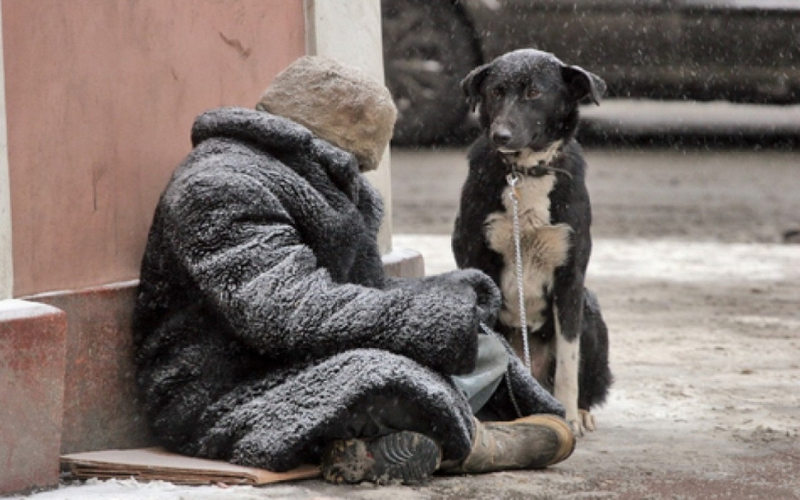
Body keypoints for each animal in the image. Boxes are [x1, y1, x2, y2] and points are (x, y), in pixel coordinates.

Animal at [454, 48, 616, 436]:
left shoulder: (570, 277)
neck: (523, 173)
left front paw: (568, 415)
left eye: (533, 93)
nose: (500, 135)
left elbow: (570, 361)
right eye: (496, 91)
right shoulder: (477, 262)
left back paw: (580, 411)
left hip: (589, 308)